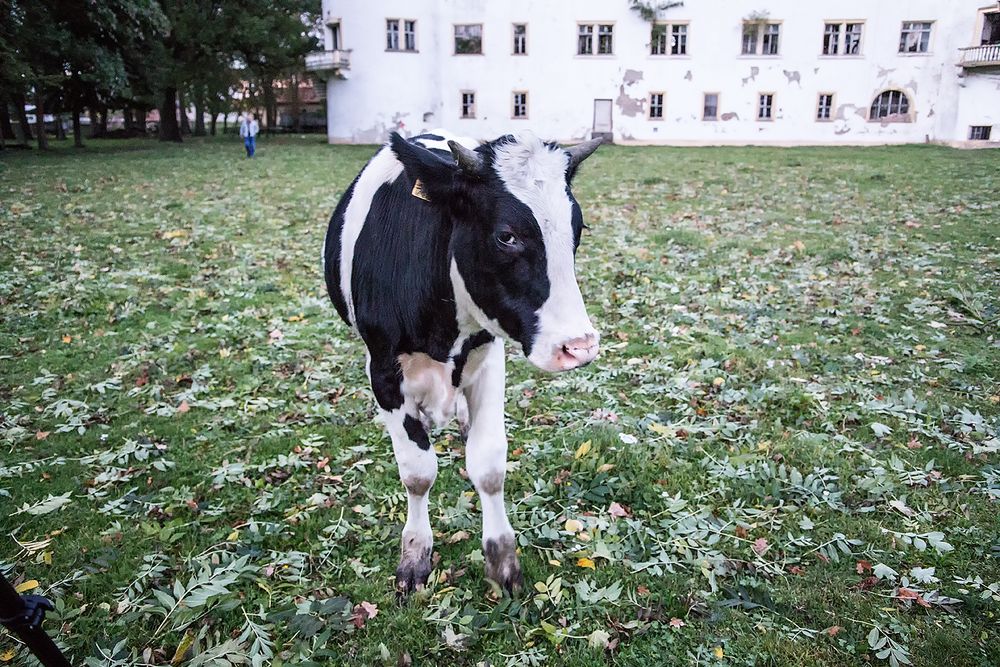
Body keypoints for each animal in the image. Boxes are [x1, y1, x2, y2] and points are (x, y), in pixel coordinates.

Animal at [322, 130, 600, 596]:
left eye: (577, 229)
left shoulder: (489, 357)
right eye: (507, 236)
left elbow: (488, 465)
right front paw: (415, 553)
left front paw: (502, 559)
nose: (579, 346)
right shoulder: (383, 371)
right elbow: (417, 471)